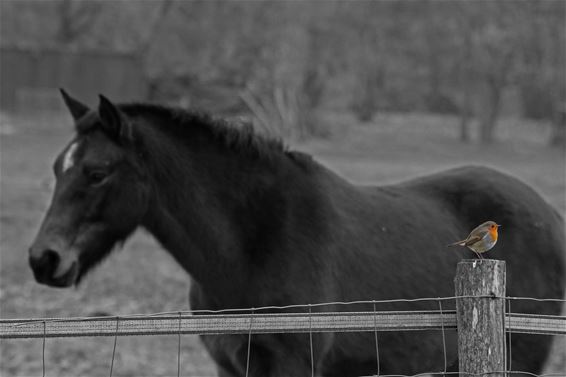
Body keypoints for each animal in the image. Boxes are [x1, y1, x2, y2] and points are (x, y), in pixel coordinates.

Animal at [30, 91, 564, 376]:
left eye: (97, 173)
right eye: (57, 168)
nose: (43, 259)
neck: (253, 243)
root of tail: (551, 216)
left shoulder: (292, 363)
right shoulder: (230, 365)